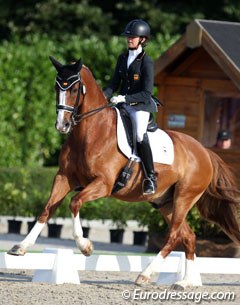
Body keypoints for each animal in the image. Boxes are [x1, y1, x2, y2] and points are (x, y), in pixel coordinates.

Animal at [7, 56, 240, 288]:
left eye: (73, 89)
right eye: (57, 87)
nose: (61, 125)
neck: (92, 132)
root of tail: (205, 152)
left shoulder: (103, 184)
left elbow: (75, 202)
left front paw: (85, 246)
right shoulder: (64, 177)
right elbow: (47, 209)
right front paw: (21, 247)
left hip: (185, 196)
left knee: (174, 236)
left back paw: (145, 275)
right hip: (166, 202)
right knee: (188, 236)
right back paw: (185, 282)